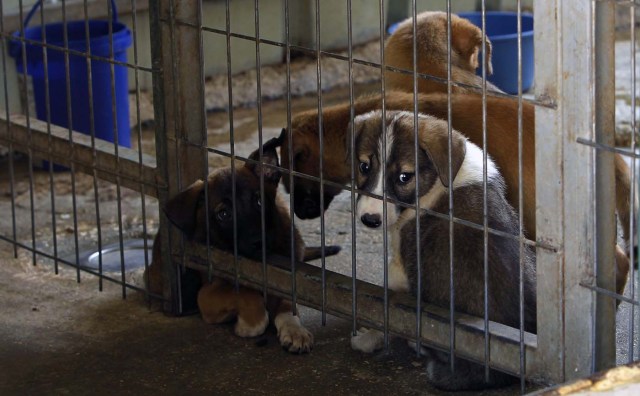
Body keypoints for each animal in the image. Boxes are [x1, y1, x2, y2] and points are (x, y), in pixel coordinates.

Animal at [146, 138, 340, 352]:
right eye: (223, 214)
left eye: (259, 201)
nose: (258, 241)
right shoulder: (206, 295)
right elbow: (248, 296)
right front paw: (248, 325)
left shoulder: (289, 281)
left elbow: (287, 307)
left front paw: (294, 330)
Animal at [348, 110, 536, 392]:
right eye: (364, 167)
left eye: (405, 177)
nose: (370, 220)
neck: (440, 180)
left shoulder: (400, 269)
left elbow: (384, 311)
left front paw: (367, 338)